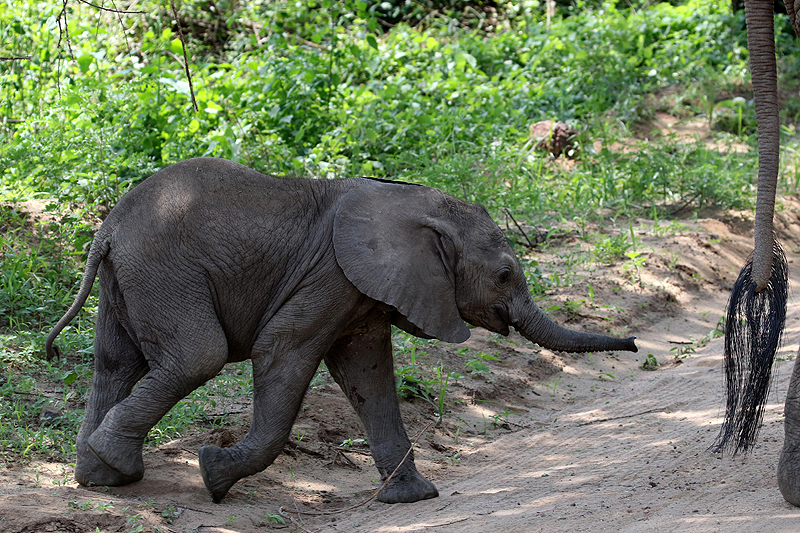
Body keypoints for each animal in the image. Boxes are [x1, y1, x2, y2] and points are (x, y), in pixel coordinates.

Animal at [48, 157, 636, 502]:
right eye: (506, 275)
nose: (632, 343)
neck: (417, 206)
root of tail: (107, 230)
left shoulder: (364, 290)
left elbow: (368, 372)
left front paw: (414, 497)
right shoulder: (330, 274)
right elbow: (282, 351)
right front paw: (214, 476)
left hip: (132, 279)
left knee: (115, 363)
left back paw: (104, 478)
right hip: (165, 270)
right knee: (198, 356)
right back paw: (119, 464)